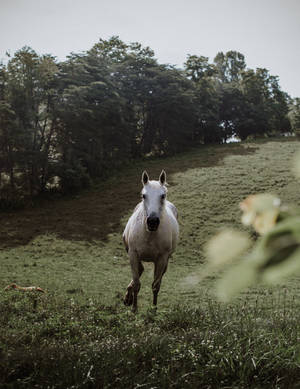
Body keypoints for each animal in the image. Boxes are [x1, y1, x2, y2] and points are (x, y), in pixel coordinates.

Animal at [122, 170, 178, 312]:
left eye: (163, 195)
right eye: (143, 196)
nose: (152, 222)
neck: (149, 234)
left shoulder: (162, 259)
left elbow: (156, 285)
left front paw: (153, 308)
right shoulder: (133, 254)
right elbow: (137, 284)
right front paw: (134, 308)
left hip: (165, 261)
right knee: (140, 270)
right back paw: (128, 297)